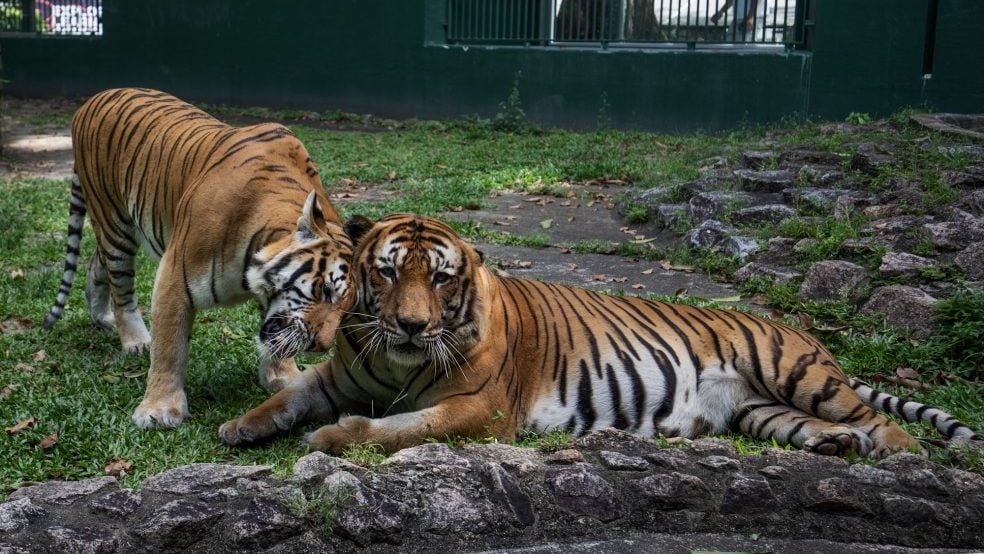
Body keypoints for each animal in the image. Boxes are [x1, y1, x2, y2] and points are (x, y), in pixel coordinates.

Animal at [43, 88, 356, 430]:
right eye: (326, 290)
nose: (320, 347)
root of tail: (93, 98)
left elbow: (278, 340)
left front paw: (284, 378)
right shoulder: (174, 275)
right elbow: (170, 346)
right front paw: (159, 410)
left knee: (96, 263)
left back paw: (102, 317)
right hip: (113, 221)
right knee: (120, 285)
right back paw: (136, 340)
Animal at [219, 213, 980, 458]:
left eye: (439, 279)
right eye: (385, 273)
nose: (410, 324)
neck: (396, 362)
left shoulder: (478, 409)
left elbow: (395, 429)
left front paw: (331, 437)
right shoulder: (337, 374)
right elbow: (287, 396)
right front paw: (241, 425)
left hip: (797, 372)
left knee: (885, 425)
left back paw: (903, 458)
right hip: (764, 411)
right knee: (823, 428)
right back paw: (835, 448)